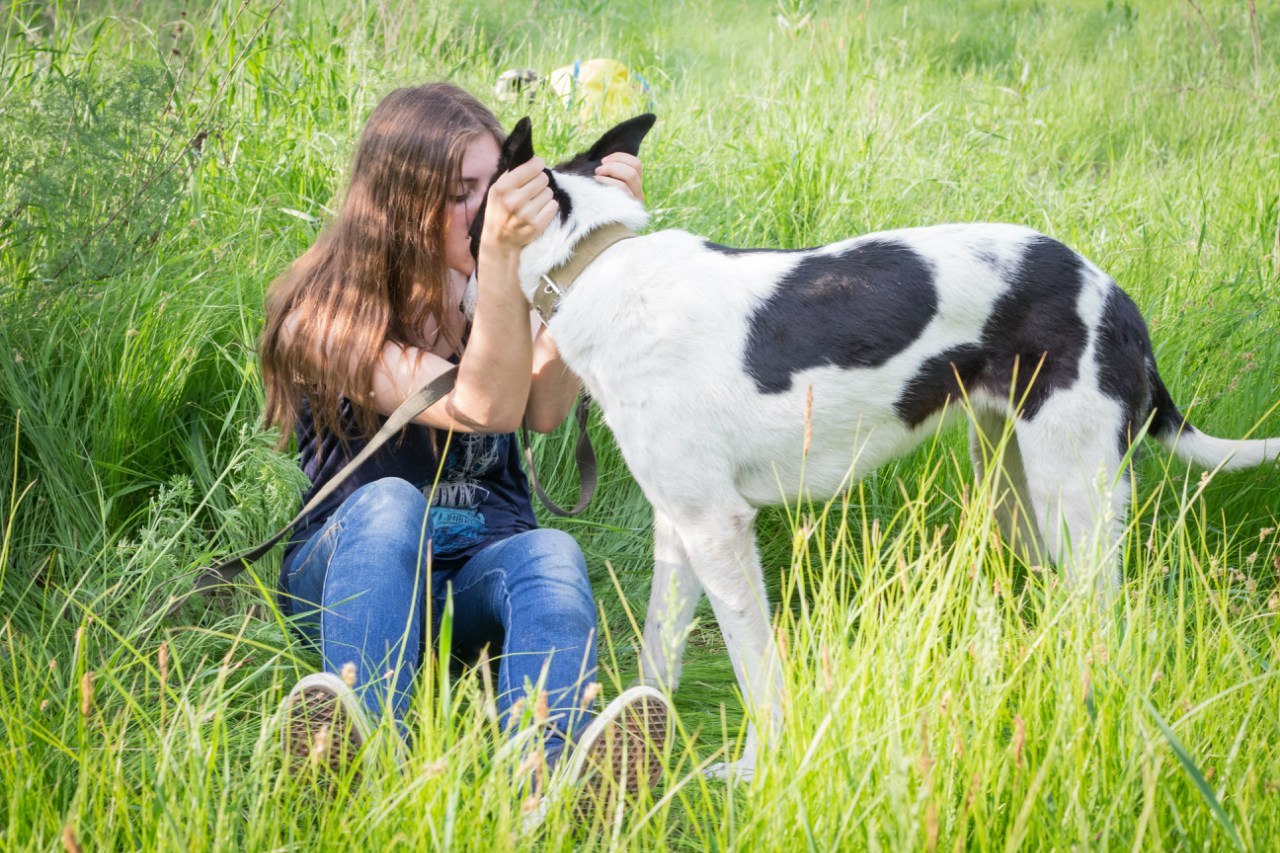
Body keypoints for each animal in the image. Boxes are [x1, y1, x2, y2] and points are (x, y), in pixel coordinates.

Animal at [473, 114, 1280, 778]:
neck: (592, 264)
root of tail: (1112, 293)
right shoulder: (680, 525)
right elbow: (657, 654)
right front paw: (637, 742)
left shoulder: (718, 528)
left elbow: (757, 671)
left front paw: (759, 769)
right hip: (1014, 488)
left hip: (1072, 496)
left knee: (1103, 622)